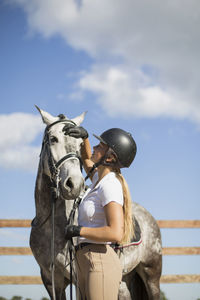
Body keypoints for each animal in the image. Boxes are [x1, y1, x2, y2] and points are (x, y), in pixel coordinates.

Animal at [29, 106, 162, 298]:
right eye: (53, 139)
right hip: (124, 279)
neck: (51, 225)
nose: (74, 184)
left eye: (79, 145)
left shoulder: (78, 279)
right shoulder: (50, 280)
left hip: (151, 274)